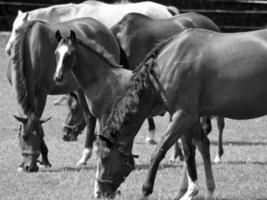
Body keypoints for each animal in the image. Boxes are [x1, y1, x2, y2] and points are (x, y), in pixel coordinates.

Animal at [7, 18, 121, 173]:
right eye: (23, 137)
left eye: (40, 136)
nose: (30, 167)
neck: (30, 48)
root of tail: (106, 29)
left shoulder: (41, 94)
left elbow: (38, 119)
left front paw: (44, 160)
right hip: (81, 88)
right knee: (90, 117)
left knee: (91, 117)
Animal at [96, 28, 267, 200]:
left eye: (104, 157)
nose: (100, 192)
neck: (166, 65)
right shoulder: (190, 117)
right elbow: (194, 149)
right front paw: (201, 190)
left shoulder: (183, 116)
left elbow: (159, 151)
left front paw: (147, 190)